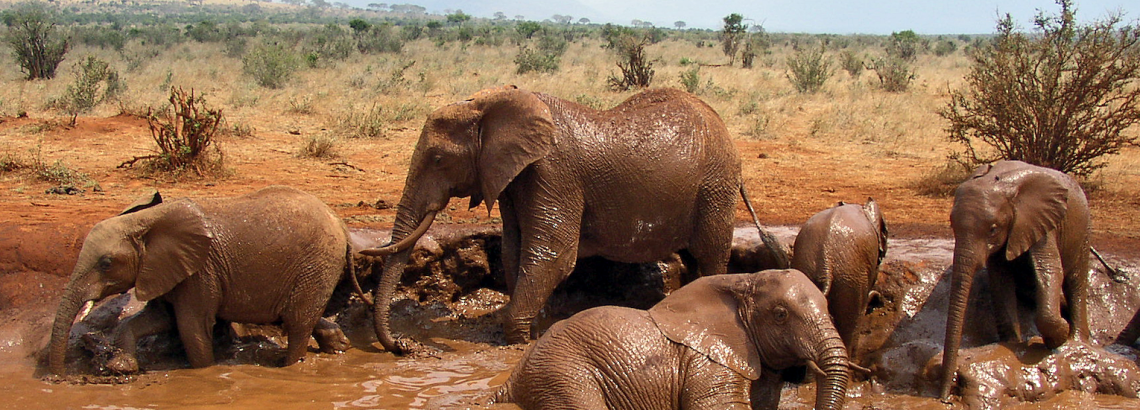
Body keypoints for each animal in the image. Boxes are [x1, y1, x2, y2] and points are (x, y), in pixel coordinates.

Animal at [49, 185, 353, 375]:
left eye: (106, 264)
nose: (59, 378)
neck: (145, 220)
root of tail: (340, 221)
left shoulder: (199, 270)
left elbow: (191, 326)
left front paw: (204, 372)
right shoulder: (162, 269)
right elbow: (158, 319)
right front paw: (121, 368)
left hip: (318, 262)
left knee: (297, 322)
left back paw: (290, 367)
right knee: (301, 316)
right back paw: (339, 346)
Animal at [360, 84, 788, 350]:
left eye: (437, 159)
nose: (402, 345)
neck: (490, 103)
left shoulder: (553, 171)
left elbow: (553, 253)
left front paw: (514, 338)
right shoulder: (516, 177)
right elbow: (516, 249)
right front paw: (532, 328)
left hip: (716, 187)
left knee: (711, 255)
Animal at [939, 160, 1089, 400]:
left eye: (992, 229)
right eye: (952, 225)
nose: (944, 398)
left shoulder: (1041, 220)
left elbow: (1049, 267)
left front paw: (1059, 337)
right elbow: (1000, 279)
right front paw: (1012, 343)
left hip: (1082, 228)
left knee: (1076, 280)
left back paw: (1078, 340)